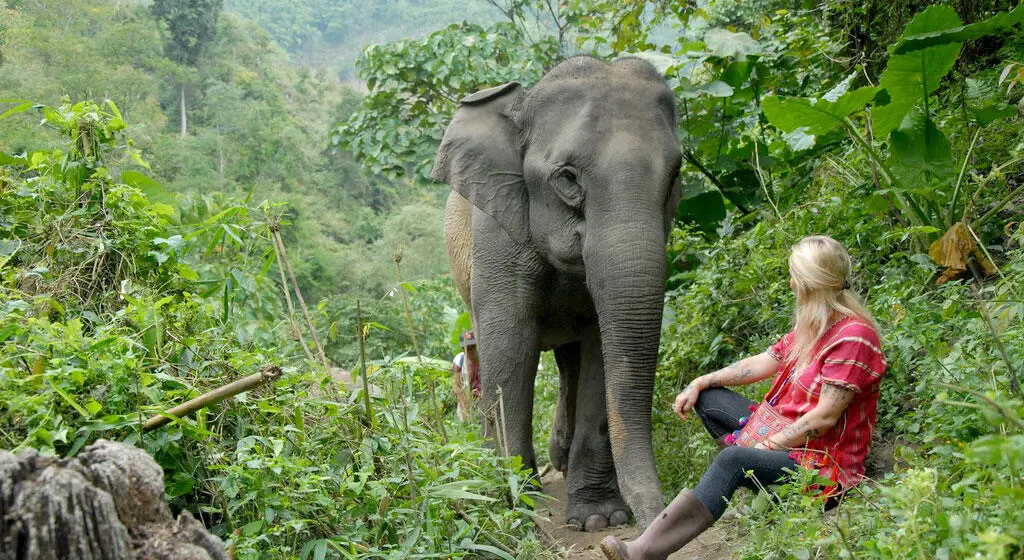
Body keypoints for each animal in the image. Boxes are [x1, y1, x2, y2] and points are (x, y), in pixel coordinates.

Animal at [432, 54, 679, 532]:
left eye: (676, 175)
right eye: (567, 178)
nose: (656, 517)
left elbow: (601, 351)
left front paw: (599, 519)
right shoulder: (497, 236)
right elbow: (510, 347)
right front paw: (513, 500)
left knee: (570, 361)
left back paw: (560, 461)